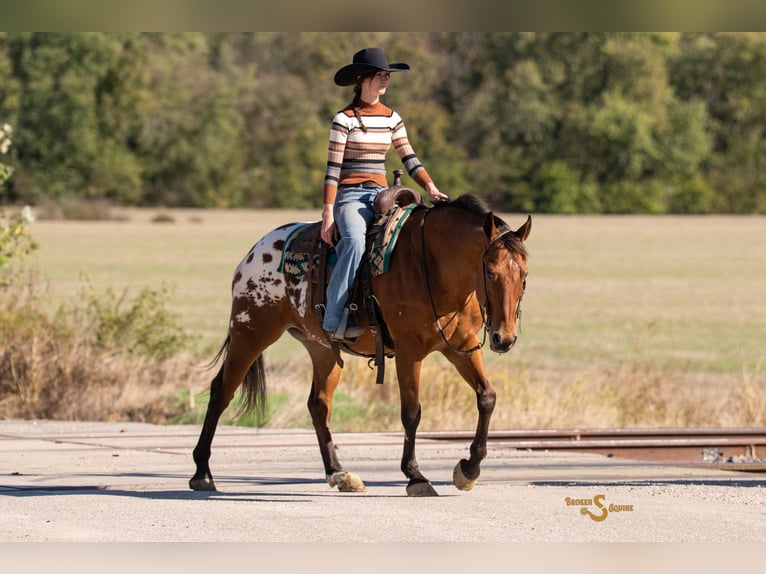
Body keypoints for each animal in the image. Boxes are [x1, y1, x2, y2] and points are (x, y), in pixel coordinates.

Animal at [189, 193, 531, 496]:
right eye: (490, 272)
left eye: (524, 276)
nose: (504, 338)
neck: (433, 265)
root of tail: (252, 254)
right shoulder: (409, 352)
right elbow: (412, 412)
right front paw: (416, 476)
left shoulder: (461, 346)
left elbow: (487, 397)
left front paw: (469, 469)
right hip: (250, 334)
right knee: (221, 392)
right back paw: (202, 473)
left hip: (322, 349)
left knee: (318, 405)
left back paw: (339, 474)